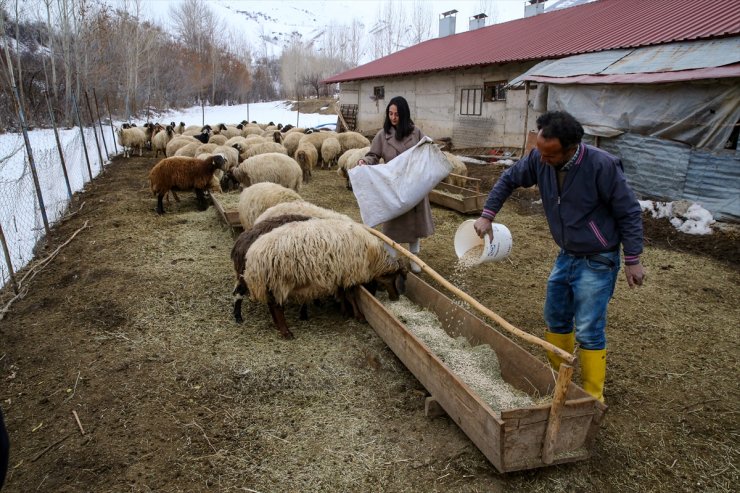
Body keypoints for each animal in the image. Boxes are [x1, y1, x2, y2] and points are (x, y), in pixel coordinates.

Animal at [243, 219, 408, 338]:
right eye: (395, 277)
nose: (396, 297)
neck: (373, 258)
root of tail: (253, 257)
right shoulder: (350, 274)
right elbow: (351, 296)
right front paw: (359, 316)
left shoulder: (340, 274)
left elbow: (342, 294)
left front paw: (344, 311)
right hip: (279, 281)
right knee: (277, 307)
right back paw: (286, 332)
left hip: (270, 283)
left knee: (271, 305)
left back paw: (279, 326)